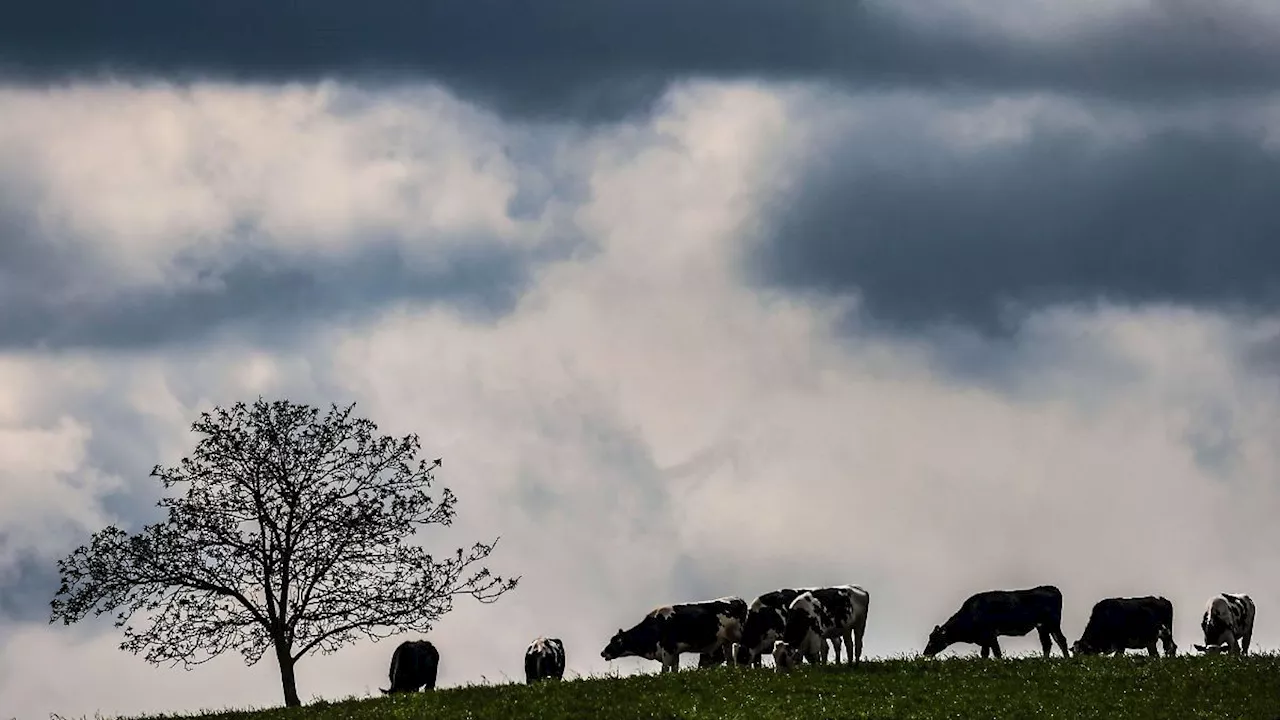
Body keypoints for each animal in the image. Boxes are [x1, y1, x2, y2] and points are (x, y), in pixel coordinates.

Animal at [601, 591, 747, 671]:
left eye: (617, 641)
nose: (603, 653)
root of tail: (738, 598)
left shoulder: (668, 650)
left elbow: (665, 670)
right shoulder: (674, 652)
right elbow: (674, 670)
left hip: (739, 634)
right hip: (725, 641)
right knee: (729, 658)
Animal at [926, 584, 1075, 655]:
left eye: (934, 639)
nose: (925, 653)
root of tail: (1051, 588)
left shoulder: (989, 635)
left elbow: (995, 653)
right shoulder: (985, 638)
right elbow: (985, 653)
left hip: (1053, 623)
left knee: (1061, 640)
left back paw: (1066, 659)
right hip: (1042, 627)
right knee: (1047, 643)